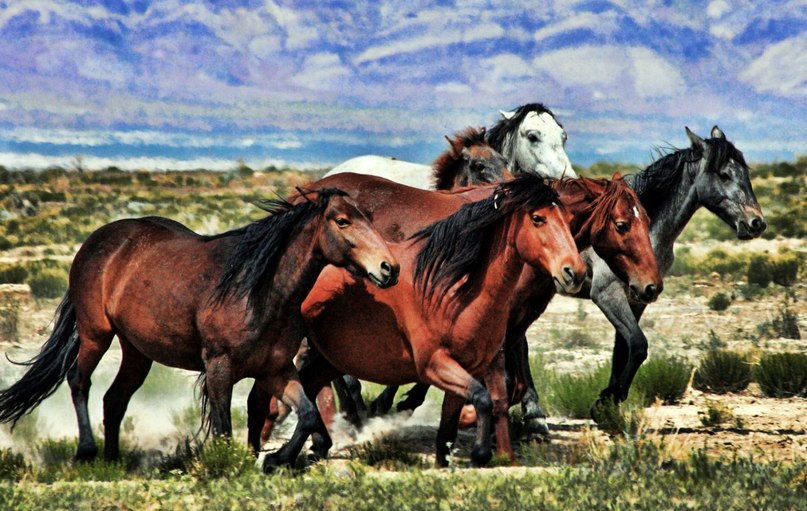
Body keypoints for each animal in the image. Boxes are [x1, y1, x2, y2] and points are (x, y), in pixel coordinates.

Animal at [0, 189, 400, 468]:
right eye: (343, 221)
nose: (389, 268)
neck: (259, 290)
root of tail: (96, 242)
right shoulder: (220, 368)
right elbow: (223, 428)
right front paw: (233, 465)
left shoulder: (276, 370)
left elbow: (308, 414)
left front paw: (276, 459)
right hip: (96, 334)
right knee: (79, 381)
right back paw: (86, 451)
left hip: (137, 352)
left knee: (114, 400)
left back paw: (113, 460)